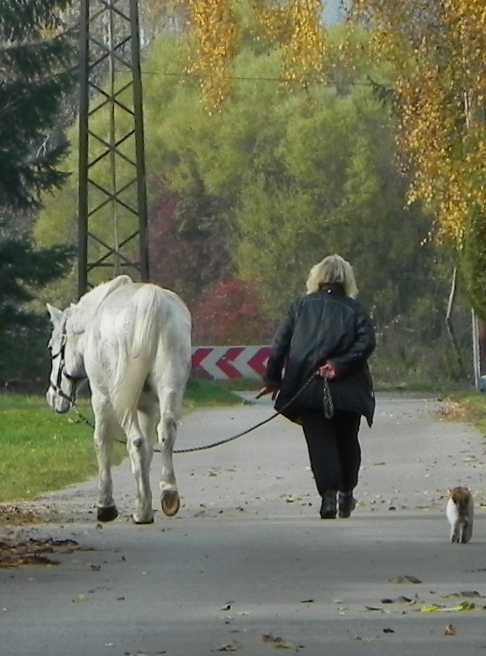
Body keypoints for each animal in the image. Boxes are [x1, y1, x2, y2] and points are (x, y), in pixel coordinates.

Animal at [46, 274, 192, 524]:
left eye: (51, 348)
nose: (52, 396)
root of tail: (153, 304)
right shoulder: (146, 406)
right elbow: (147, 452)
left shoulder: (102, 399)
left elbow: (102, 442)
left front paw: (106, 505)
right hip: (169, 389)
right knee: (165, 433)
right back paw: (168, 495)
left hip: (120, 399)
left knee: (135, 440)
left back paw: (142, 512)